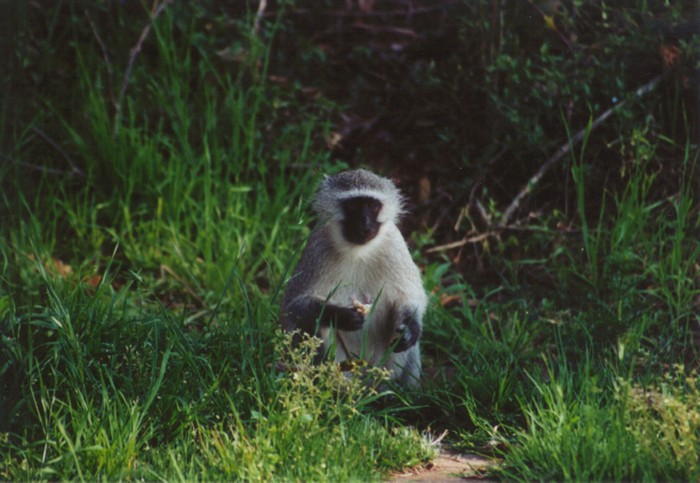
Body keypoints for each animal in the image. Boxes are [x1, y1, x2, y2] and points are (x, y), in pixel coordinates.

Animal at [280, 168, 426, 384]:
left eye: (373, 206)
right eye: (353, 206)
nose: (364, 223)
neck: (359, 251)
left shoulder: (395, 244)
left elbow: (410, 298)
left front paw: (409, 329)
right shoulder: (317, 247)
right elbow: (292, 308)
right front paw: (341, 316)